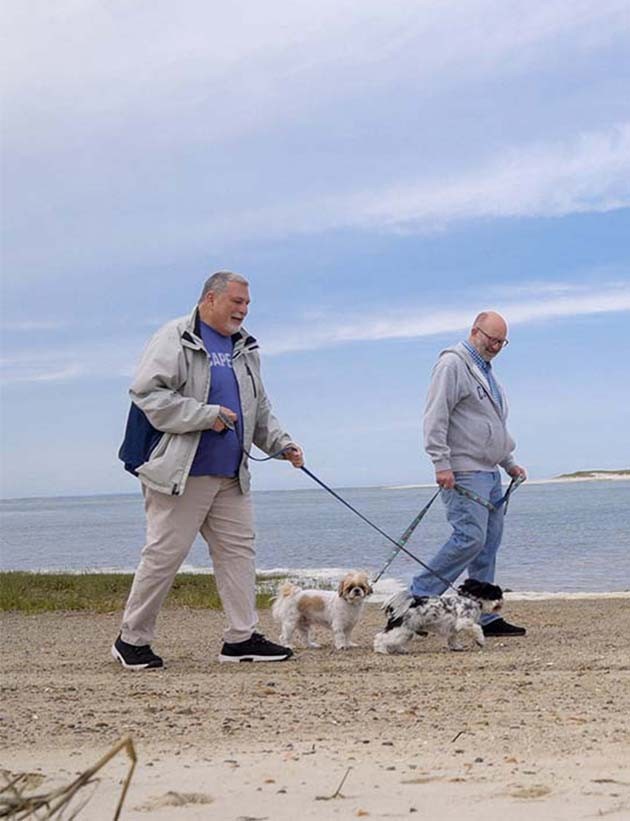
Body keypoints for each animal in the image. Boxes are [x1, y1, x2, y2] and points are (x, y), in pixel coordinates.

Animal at [376, 576, 504, 652]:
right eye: (495, 594)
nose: (502, 601)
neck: (471, 599)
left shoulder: (453, 628)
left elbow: (453, 638)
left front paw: (456, 647)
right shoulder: (465, 622)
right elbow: (477, 629)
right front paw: (480, 641)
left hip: (405, 631)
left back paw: (400, 649)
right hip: (402, 629)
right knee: (381, 637)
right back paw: (381, 649)